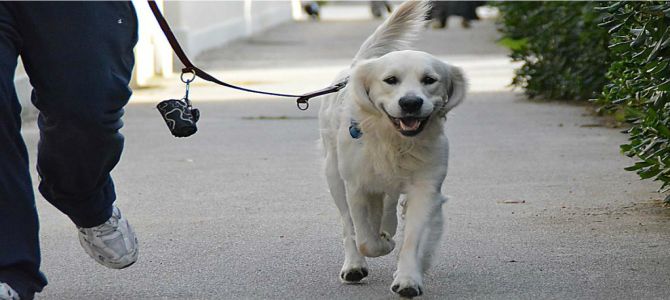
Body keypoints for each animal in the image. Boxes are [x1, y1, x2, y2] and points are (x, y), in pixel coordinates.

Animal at [318, 1, 468, 298]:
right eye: (390, 80)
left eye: (429, 79)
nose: (410, 103)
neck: (395, 141)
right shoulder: (357, 186)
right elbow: (365, 238)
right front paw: (382, 244)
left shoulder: (426, 187)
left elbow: (413, 238)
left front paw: (409, 278)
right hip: (334, 176)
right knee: (348, 225)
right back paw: (354, 264)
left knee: (388, 206)